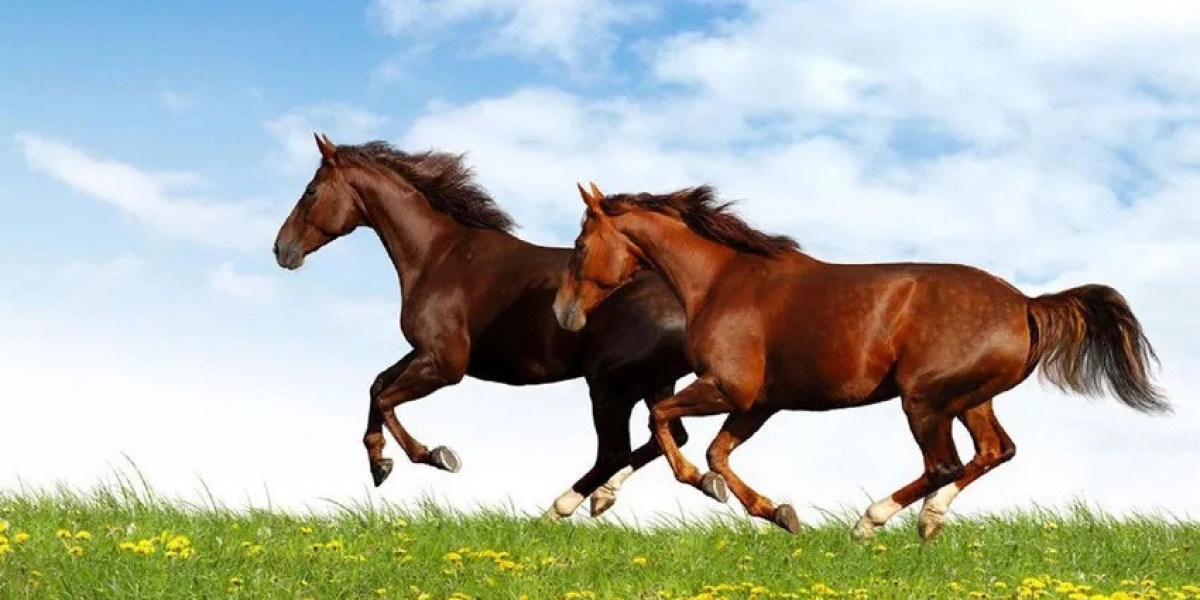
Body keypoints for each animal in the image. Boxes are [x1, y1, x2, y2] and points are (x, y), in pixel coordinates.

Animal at [272, 134, 694, 520]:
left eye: (310, 190)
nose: (281, 250)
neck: (438, 255)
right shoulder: (425, 353)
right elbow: (377, 385)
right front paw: (380, 464)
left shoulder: (445, 365)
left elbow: (386, 399)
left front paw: (437, 456)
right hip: (652, 384)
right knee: (668, 435)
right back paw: (605, 496)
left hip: (609, 386)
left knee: (615, 452)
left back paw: (555, 511)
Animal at [553, 182, 1168, 540]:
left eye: (580, 245)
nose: (563, 313)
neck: (723, 281)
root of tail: (1026, 303)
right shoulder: (759, 404)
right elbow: (716, 452)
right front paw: (777, 512)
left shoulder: (728, 389)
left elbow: (668, 428)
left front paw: (702, 487)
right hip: (970, 399)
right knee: (995, 451)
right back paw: (930, 520)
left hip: (925, 400)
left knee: (945, 464)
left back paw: (870, 522)